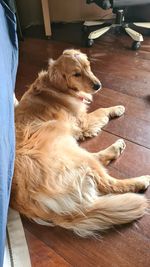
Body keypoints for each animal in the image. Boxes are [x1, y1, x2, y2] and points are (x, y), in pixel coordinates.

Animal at [11, 49, 150, 238]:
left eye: (88, 66)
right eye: (76, 74)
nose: (98, 85)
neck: (55, 87)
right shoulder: (82, 121)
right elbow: (101, 110)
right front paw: (117, 108)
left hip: (73, 150)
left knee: (99, 160)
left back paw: (117, 147)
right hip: (70, 150)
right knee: (108, 183)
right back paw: (141, 179)